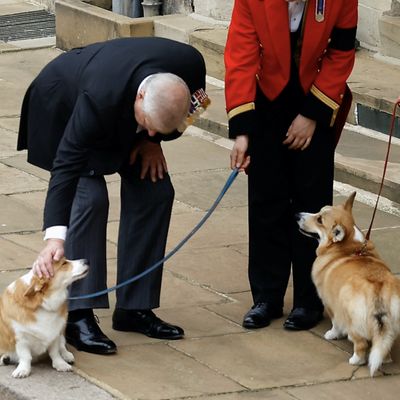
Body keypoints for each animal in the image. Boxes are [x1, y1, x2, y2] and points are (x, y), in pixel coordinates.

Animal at [296, 192, 400, 376]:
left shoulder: (331, 303)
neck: (348, 247)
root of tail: (378, 290)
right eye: (319, 212)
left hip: (352, 318)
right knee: (384, 345)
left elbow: (336, 323)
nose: (297, 215)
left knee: (361, 344)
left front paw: (332, 334)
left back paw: (355, 360)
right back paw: (385, 360)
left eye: (319, 220)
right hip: (390, 327)